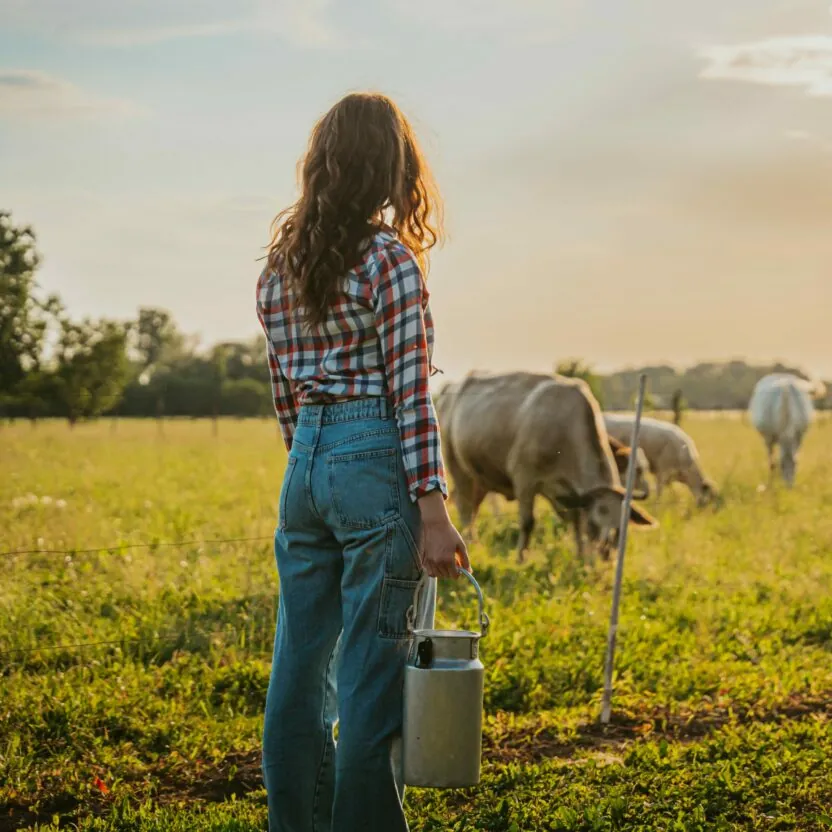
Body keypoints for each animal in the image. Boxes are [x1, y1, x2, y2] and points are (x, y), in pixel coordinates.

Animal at [436, 372, 656, 564]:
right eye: (594, 524)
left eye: (622, 528)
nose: (606, 555)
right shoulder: (524, 479)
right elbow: (528, 522)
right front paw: (521, 559)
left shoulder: (571, 493)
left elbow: (576, 524)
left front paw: (580, 557)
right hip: (457, 468)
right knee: (465, 507)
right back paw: (471, 542)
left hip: (480, 478)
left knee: (472, 508)